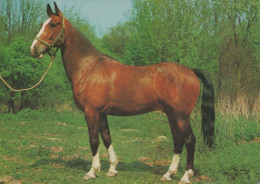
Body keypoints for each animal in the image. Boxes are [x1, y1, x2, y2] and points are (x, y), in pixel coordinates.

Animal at [30, 2, 214, 184]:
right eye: (42, 24)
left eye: (53, 24)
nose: (34, 49)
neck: (89, 68)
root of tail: (190, 71)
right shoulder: (102, 113)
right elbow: (106, 138)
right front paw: (112, 169)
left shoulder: (91, 112)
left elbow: (94, 140)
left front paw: (92, 171)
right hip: (172, 115)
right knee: (178, 140)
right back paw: (168, 174)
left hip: (181, 116)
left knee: (189, 140)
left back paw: (185, 176)